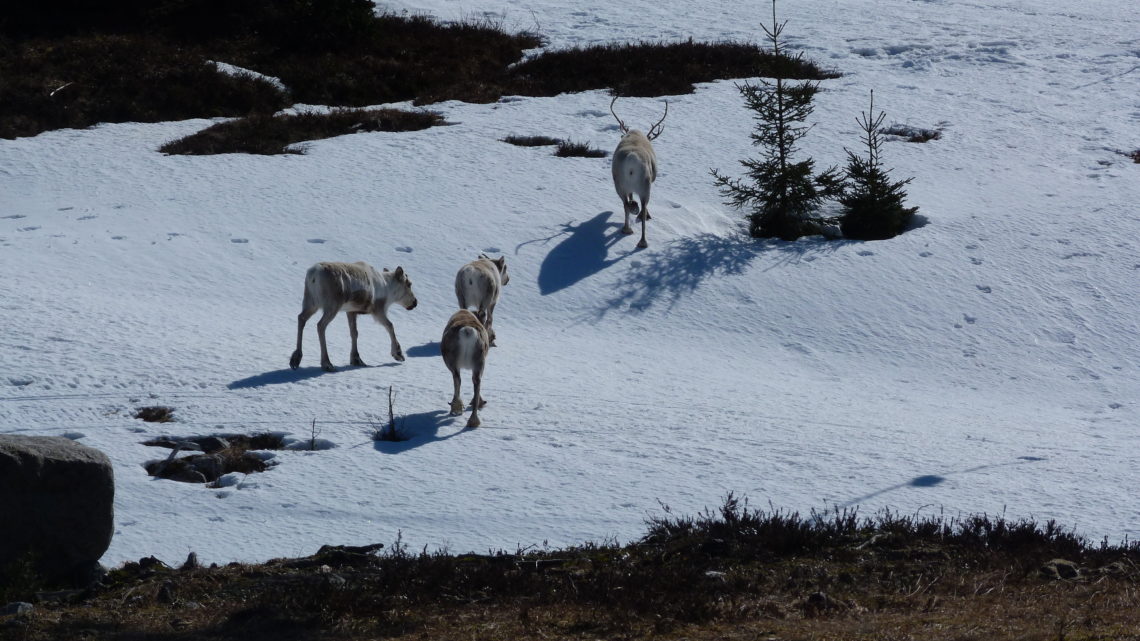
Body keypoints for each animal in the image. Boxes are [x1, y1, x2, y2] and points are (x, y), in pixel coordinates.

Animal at [289, 260, 419, 369]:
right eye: (409, 284)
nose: (415, 302)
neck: (387, 287)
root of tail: (313, 275)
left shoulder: (351, 311)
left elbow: (354, 333)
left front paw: (356, 359)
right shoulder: (377, 310)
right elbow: (390, 326)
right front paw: (398, 354)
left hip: (311, 302)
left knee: (301, 318)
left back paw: (296, 359)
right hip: (331, 305)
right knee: (320, 325)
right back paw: (327, 363)